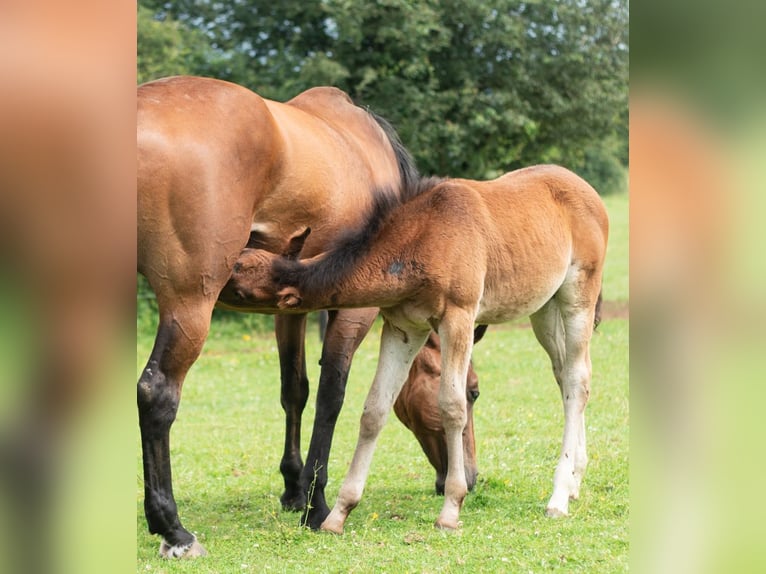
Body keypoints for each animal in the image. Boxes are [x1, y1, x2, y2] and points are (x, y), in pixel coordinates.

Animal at [139, 76, 424, 560]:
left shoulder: (290, 308)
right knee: (156, 393)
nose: (465, 483)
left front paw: (293, 488)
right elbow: (331, 396)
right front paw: (315, 502)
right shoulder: (355, 311)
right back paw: (174, 530)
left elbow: (296, 390)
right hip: (189, 305)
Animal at [219, 165, 608, 536]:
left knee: (578, 378)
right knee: (564, 376)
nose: (213, 281)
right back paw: (574, 481)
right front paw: (339, 514)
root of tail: (588, 191)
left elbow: (451, 407)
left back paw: (558, 497)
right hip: (543, 308)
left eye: (239, 283)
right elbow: (374, 410)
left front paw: (451, 509)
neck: (422, 238)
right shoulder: (403, 327)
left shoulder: (458, 317)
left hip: (578, 296)